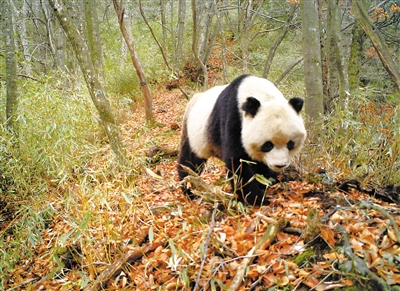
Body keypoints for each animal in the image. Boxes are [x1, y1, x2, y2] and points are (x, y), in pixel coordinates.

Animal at [177, 74, 306, 205]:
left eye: (290, 144)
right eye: (268, 145)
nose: (279, 165)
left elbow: (260, 168)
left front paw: (263, 185)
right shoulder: (233, 119)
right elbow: (238, 162)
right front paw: (256, 198)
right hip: (192, 131)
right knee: (190, 161)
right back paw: (189, 190)